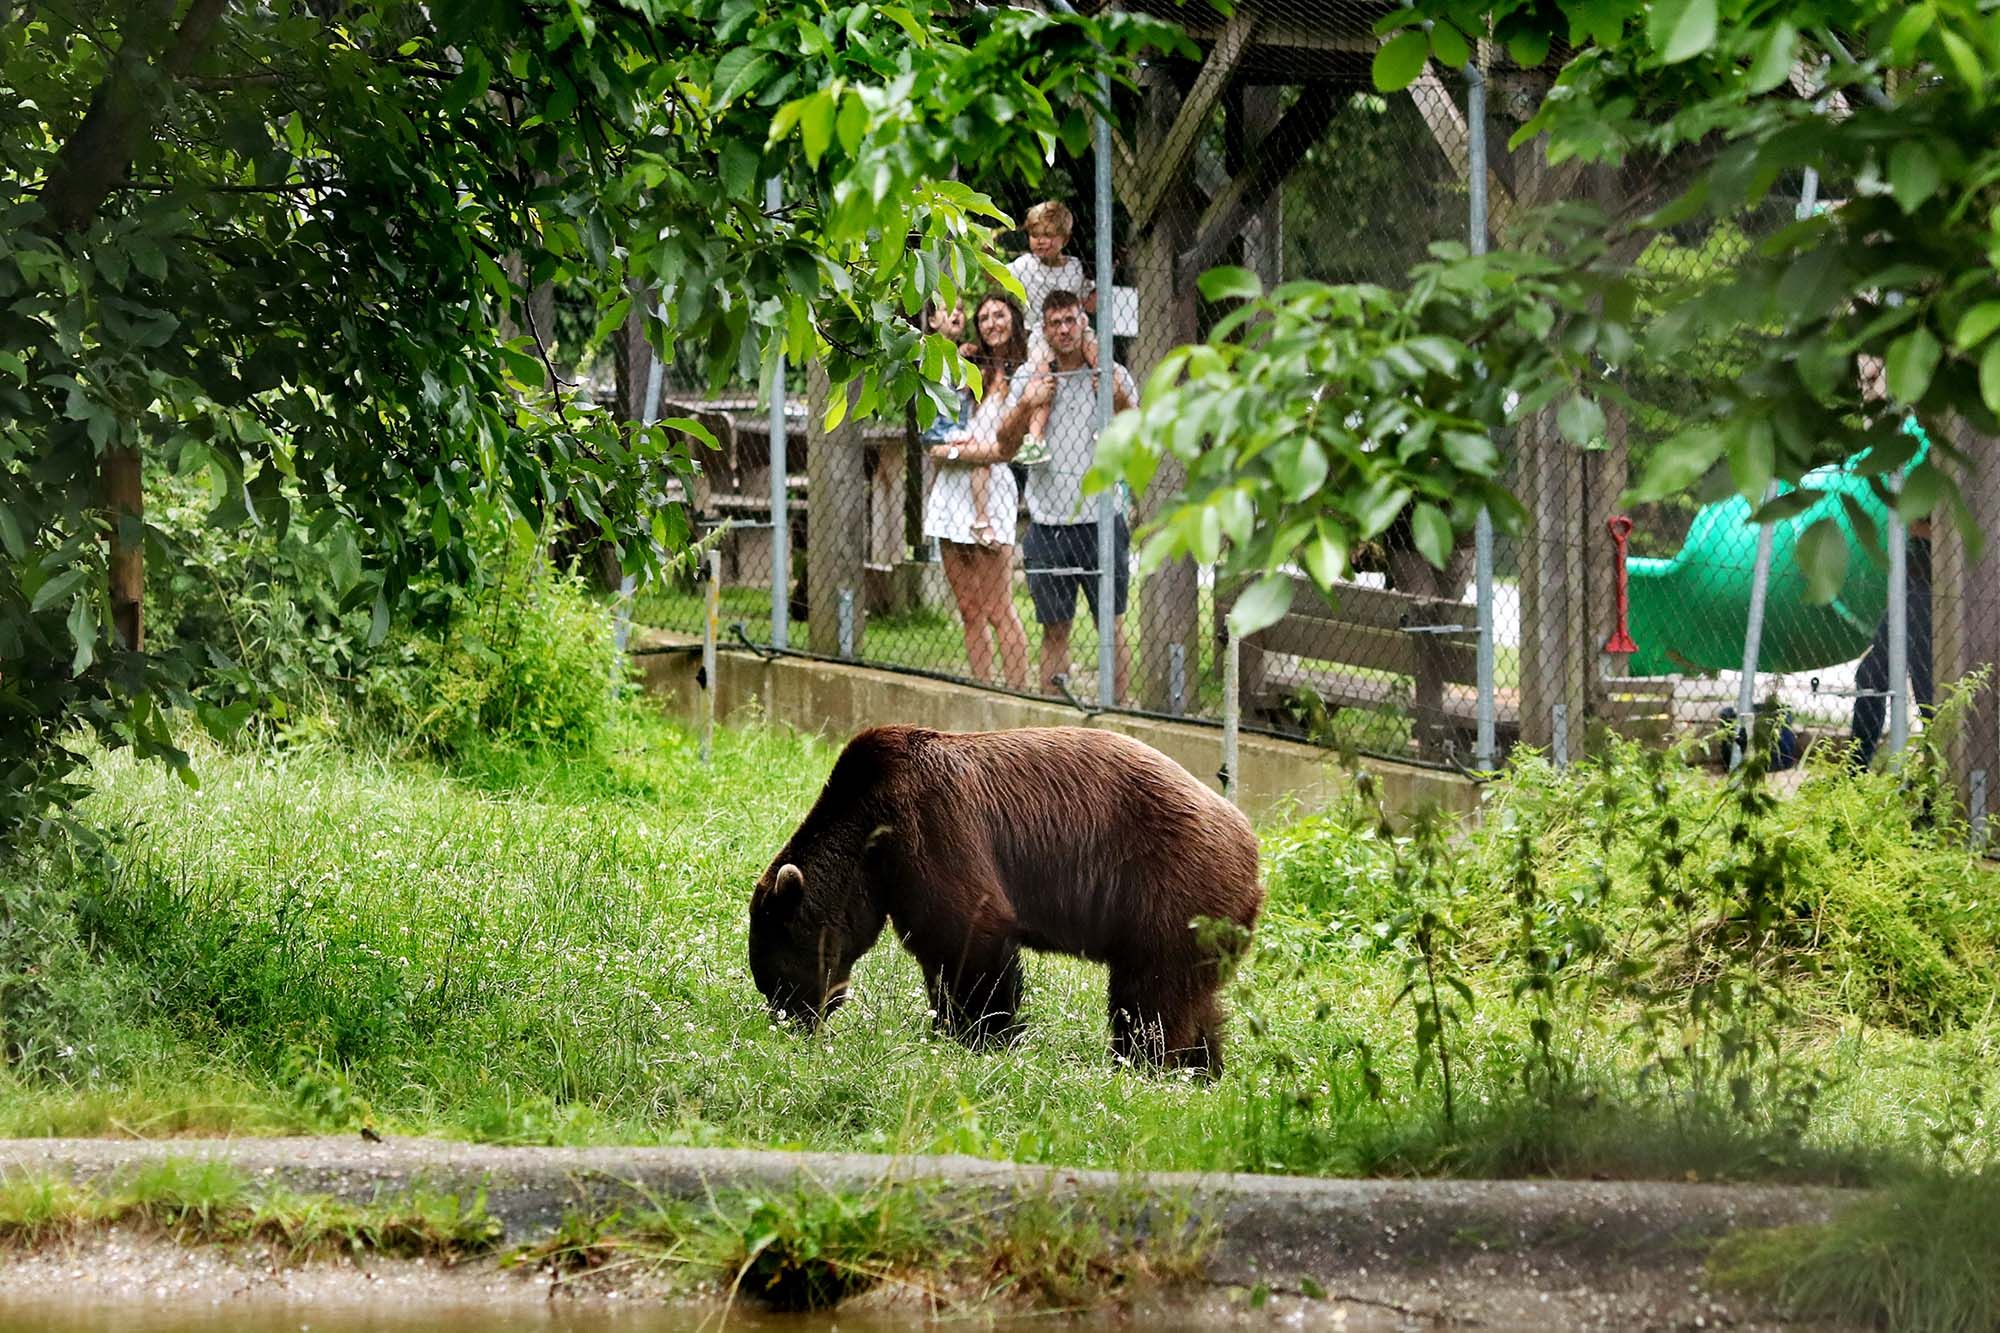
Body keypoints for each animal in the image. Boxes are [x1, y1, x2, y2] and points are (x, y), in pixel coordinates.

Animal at [747, 724, 1263, 1074]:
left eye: (777, 978)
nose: (793, 1023)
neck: (870, 840)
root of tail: (1254, 850)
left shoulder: (931, 826)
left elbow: (968, 937)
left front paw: (978, 1036)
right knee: (1197, 1001)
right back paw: (1202, 1070)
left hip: (1173, 890)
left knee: (1151, 995)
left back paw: (1142, 1064)